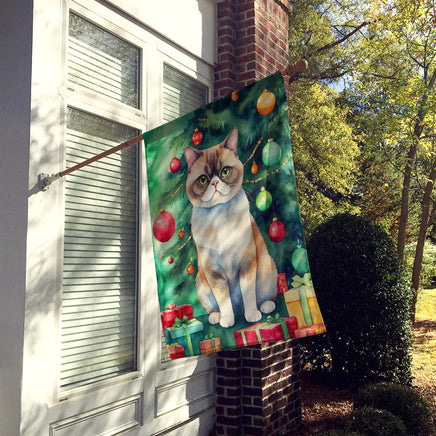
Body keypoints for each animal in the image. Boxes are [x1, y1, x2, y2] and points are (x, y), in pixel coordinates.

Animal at [184, 127, 276, 328]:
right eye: (203, 179)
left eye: (225, 171)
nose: (215, 182)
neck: (219, 219)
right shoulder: (214, 273)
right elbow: (224, 301)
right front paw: (227, 320)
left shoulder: (247, 264)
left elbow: (248, 295)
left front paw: (252, 315)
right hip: (201, 283)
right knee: (215, 307)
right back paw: (216, 317)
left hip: (267, 269)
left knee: (266, 297)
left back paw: (265, 307)